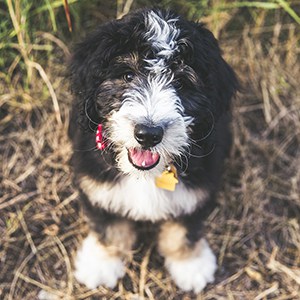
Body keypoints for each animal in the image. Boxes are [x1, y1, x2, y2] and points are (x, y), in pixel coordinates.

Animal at [69, 7, 238, 292]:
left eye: (181, 83)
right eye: (127, 75)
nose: (148, 134)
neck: (144, 176)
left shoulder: (199, 185)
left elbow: (184, 229)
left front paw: (190, 265)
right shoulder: (95, 180)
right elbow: (108, 226)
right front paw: (101, 264)